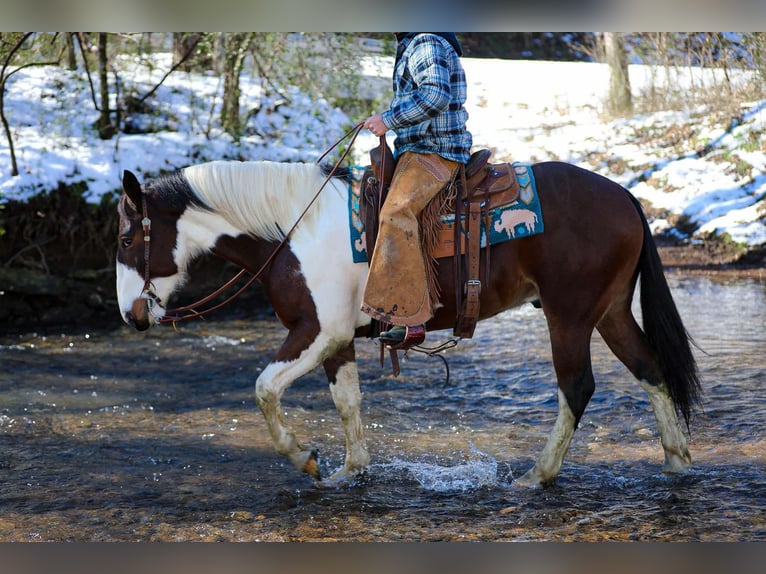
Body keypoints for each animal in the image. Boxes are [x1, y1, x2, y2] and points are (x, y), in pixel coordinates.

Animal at [115, 158, 702, 488]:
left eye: (125, 239)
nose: (132, 316)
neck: (293, 229)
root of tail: (625, 196)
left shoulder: (316, 331)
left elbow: (264, 388)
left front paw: (305, 458)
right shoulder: (337, 340)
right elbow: (347, 402)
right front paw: (350, 471)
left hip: (570, 316)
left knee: (576, 387)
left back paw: (537, 477)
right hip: (610, 311)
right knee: (651, 369)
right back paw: (675, 461)